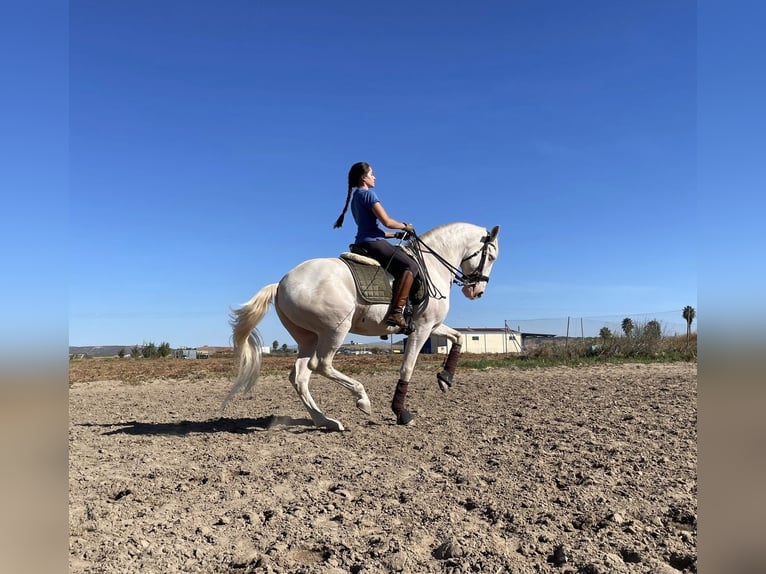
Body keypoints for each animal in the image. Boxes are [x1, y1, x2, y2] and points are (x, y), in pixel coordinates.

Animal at [225, 223, 500, 430]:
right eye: (490, 256)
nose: (477, 291)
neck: (432, 266)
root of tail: (281, 284)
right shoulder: (422, 328)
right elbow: (407, 368)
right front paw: (401, 412)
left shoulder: (431, 326)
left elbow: (458, 337)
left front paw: (445, 379)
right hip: (335, 330)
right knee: (320, 365)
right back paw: (362, 399)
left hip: (309, 338)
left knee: (300, 376)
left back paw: (326, 421)